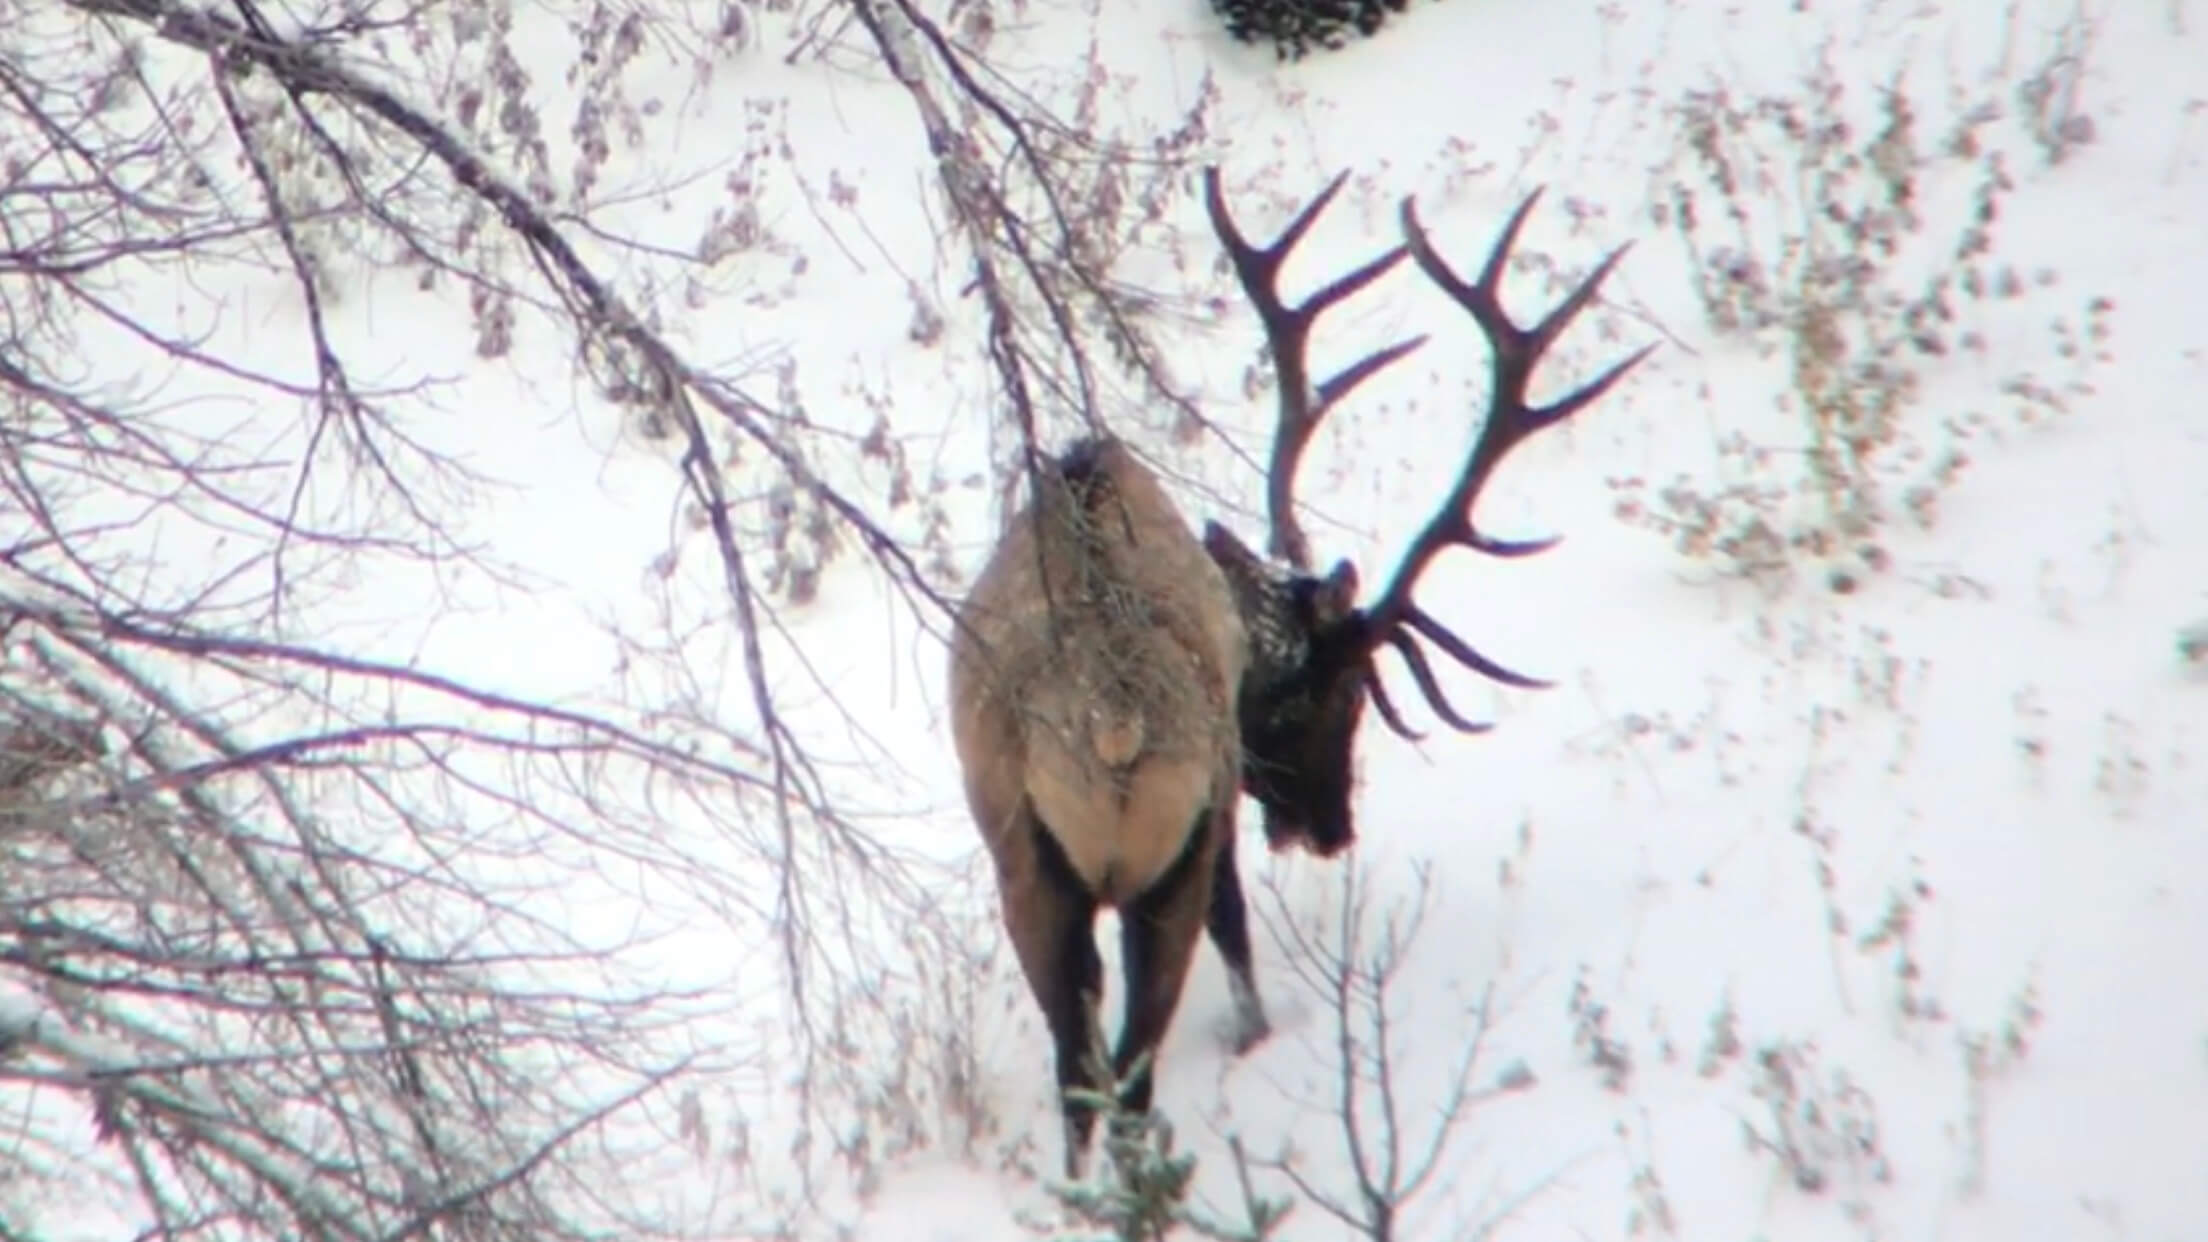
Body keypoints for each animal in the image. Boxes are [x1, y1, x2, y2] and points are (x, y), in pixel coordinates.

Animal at [940, 164, 1651, 1166]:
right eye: (1343, 695)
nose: (1330, 826)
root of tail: (1114, 724)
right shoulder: (1217, 809)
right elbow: (1236, 924)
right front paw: (1254, 1031)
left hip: (1025, 860)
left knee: (1079, 1072)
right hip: (1163, 852)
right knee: (1133, 1060)